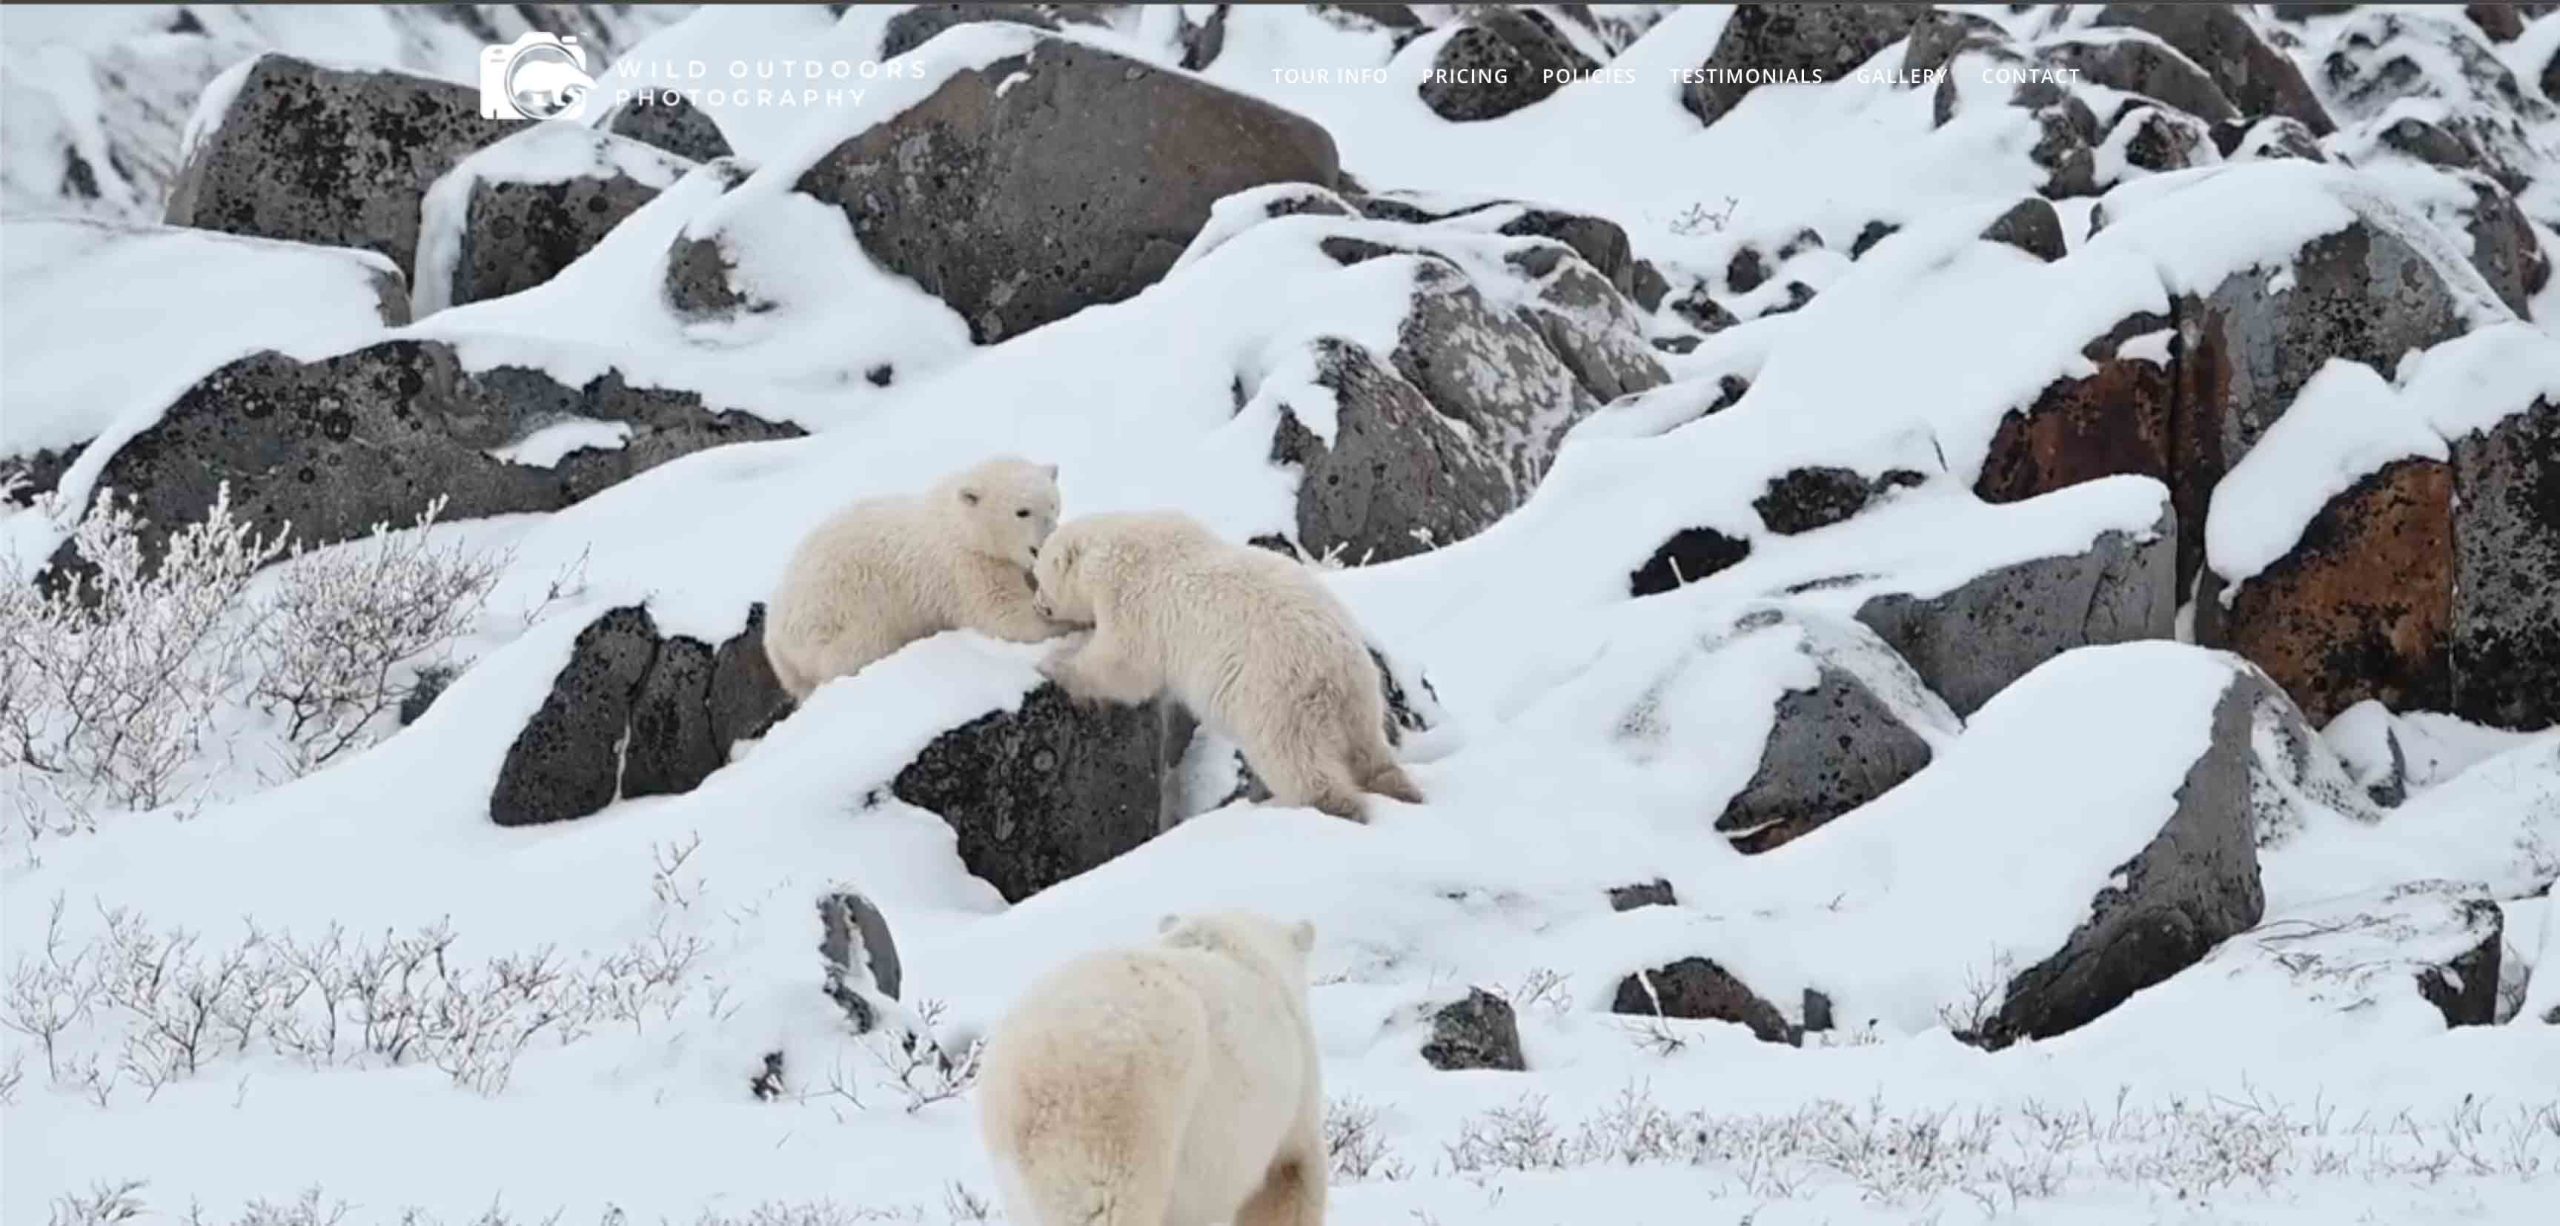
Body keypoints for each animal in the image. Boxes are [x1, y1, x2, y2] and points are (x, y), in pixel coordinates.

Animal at [764, 455, 1066, 701]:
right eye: (1022, 511)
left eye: (1053, 504)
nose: (1049, 538)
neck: (962, 525)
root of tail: (775, 639)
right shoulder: (967, 566)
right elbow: (1007, 616)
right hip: (842, 611)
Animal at [1029, 509, 1422, 821]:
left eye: (1039, 576)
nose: (1038, 605)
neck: (1113, 546)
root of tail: (1335, 669)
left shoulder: (1133, 601)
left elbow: (1122, 665)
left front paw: (1055, 665)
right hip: (1362, 697)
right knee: (1369, 749)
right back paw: (1401, 788)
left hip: (1277, 700)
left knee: (1296, 761)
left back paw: (1334, 805)